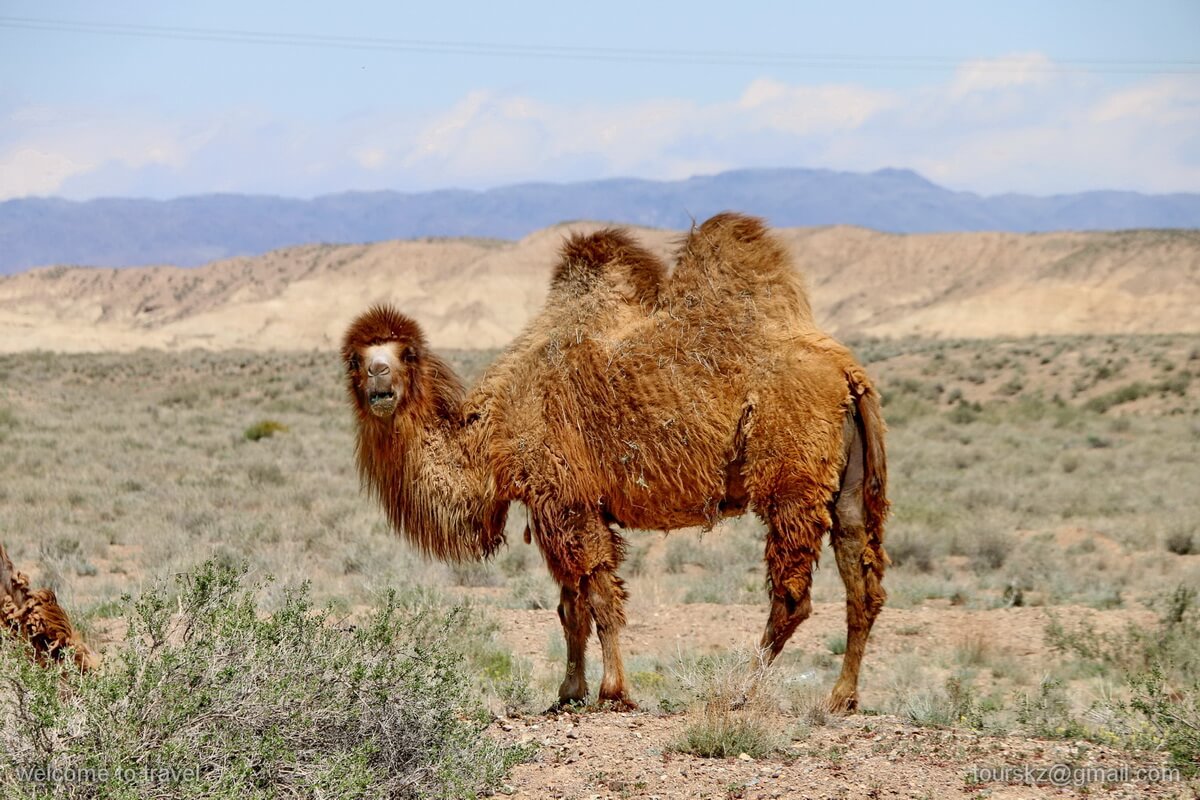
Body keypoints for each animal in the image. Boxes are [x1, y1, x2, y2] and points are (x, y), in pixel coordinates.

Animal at [342, 213, 888, 712]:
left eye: (406, 354)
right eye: (355, 359)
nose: (379, 380)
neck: (493, 431)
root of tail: (847, 372)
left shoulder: (566, 499)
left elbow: (598, 600)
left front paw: (612, 691)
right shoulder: (556, 505)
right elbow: (571, 607)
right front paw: (568, 692)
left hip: (790, 477)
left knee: (792, 595)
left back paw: (742, 691)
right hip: (846, 482)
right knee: (862, 578)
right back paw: (841, 697)